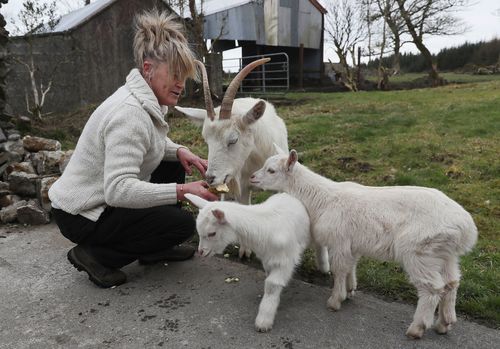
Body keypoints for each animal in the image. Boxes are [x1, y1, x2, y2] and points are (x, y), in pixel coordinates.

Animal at [252, 149, 478, 338]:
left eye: (271, 170)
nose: (252, 177)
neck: (321, 198)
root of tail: (466, 228)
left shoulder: (339, 241)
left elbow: (339, 270)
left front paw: (335, 300)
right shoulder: (352, 244)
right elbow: (350, 267)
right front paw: (350, 290)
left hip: (420, 250)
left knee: (432, 289)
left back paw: (417, 328)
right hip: (445, 253)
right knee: (451, 283)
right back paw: (445, 323)